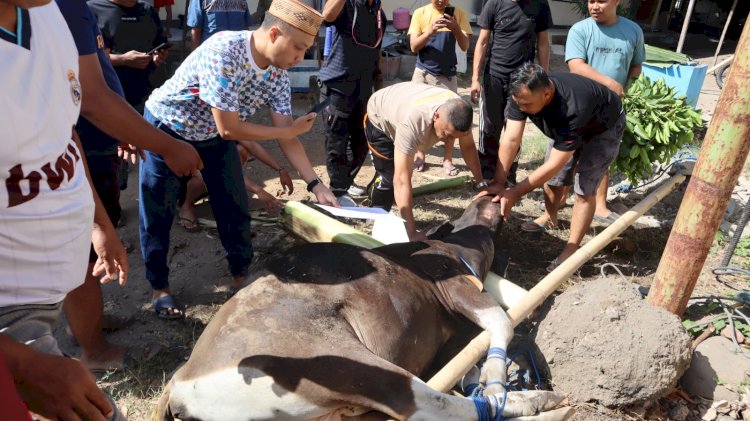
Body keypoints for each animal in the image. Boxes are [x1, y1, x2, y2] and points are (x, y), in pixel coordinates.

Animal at [156, 198, 572, 420]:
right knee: (430, 405)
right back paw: (536, 401)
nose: (491, 196)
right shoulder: (454, 286)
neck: (458, 247)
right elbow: (502, 322)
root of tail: (178, 383)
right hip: (343, 363)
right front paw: (496, 378)